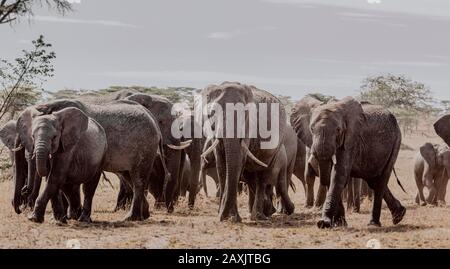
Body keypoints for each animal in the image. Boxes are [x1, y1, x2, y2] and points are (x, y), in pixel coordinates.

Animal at [24, 98, 163, 220]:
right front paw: (66, 217)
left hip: (146, 147)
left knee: (138, 179)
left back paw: (131, 218)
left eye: (54, 137)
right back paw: (144, 215)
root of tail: (154, 120)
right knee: (129, 177)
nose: (24, 190)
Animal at [199, 81, 294, 220]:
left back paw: (259, 216)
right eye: (212, 113)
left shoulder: (249, 128)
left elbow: (238, 165)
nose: (221, 217)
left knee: (262, 178)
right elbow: (222, 167)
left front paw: (231, 218)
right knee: (252, 177)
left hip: (276, 150)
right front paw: (229, 217)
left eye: (244, 114)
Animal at [312, 97, 406, 227]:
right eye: (311, 129)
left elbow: (339, 173)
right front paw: (339, 224)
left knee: (381, 181)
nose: (325, 222)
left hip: (396, 141)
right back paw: (399, 215)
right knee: (373, 180)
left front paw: (324, 223)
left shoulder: (352, 138)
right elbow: (333, 175)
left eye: (338, 130)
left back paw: (374, 224)